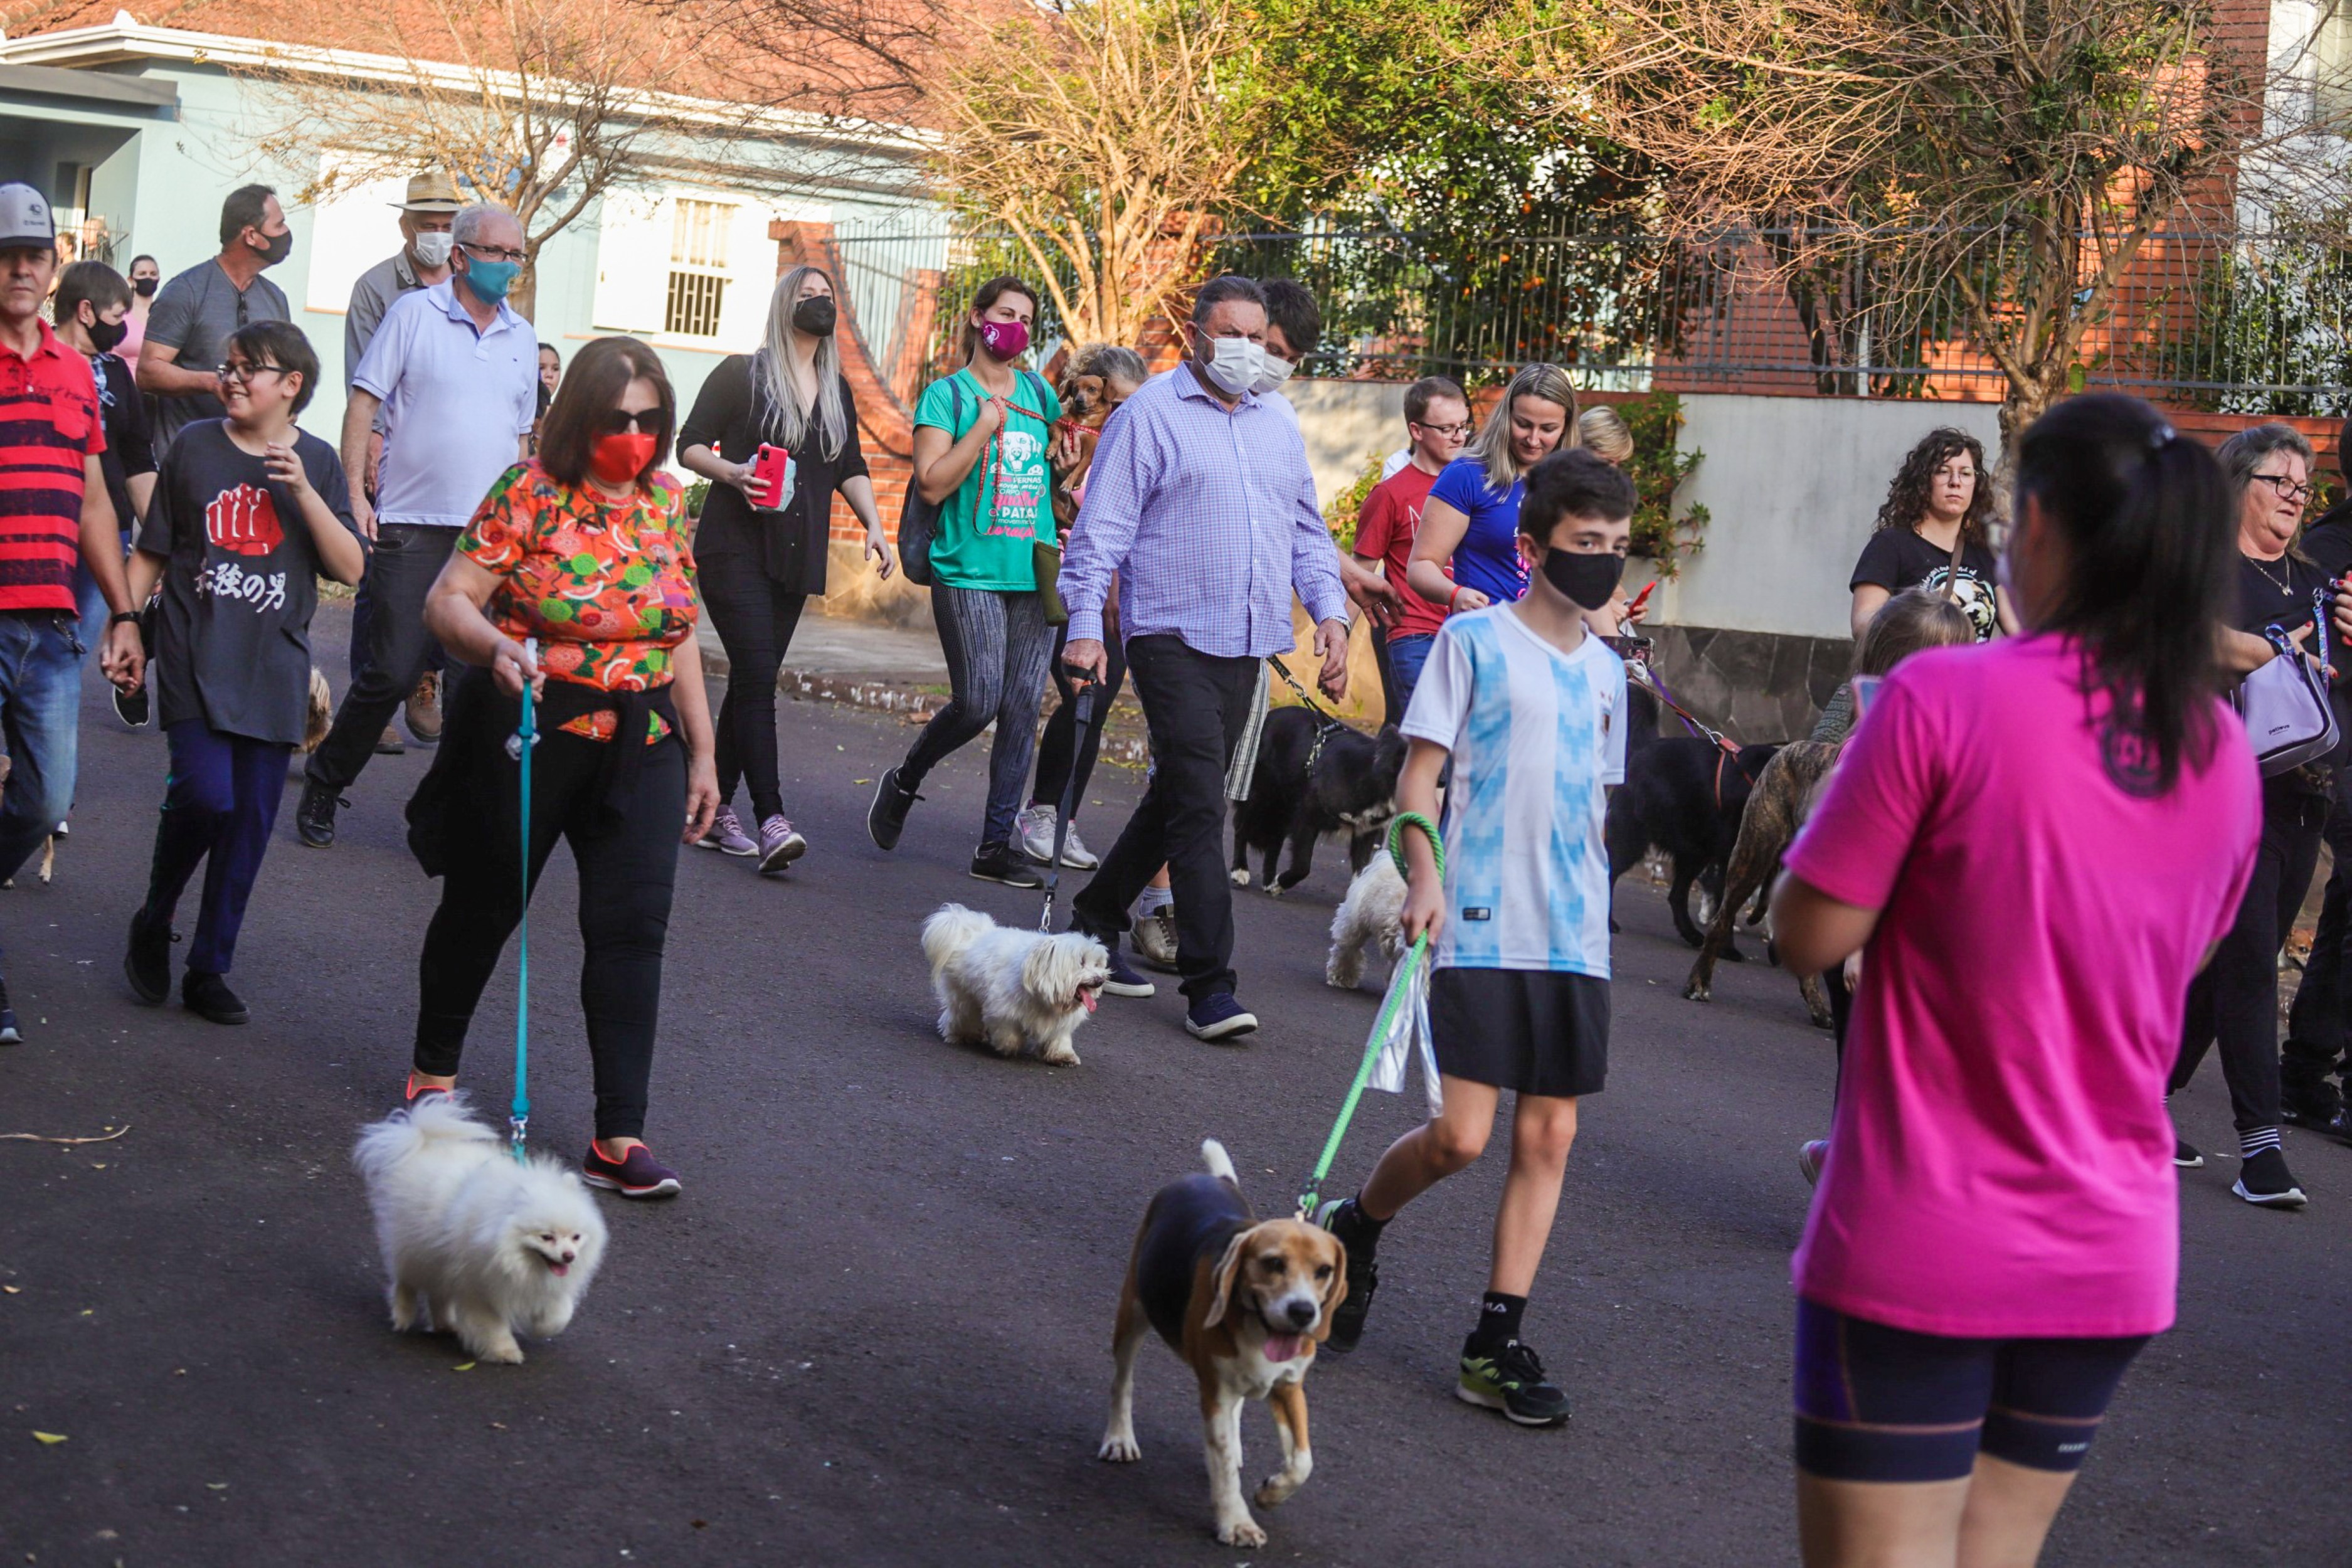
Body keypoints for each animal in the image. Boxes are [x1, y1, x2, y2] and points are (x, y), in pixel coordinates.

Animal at [352, 1095, 609, 1365]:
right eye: (547, 1237)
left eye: (576, 1237)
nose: (569, 1256)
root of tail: (423, 1142)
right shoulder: (478, 1286)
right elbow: (491, 1325)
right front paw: (505, 1352)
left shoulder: (542, 1285)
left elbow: (560, 1312)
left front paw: (544, 1327)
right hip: (414, 1245)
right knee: (406, 1280)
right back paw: (403, 1316)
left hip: (438, 1258)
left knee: (438, 1292)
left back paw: (445, 1324)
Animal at [921, 903, 1109, 1066]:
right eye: (1081, 962)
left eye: (1097, 964)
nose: (1100, 980)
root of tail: (969, 932)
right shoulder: (1004, 1010)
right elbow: (1009, 1034)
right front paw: (1009, 1047)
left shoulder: (1060, 1023)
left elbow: (1059, 1038)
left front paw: (1063, 1056)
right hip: (964, 994)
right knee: (963, 1014)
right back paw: (963, 1034)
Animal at [1099, 1140, 1346, 1547]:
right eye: (1274, 1263)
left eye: (1324, 1271)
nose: (1302, 1312)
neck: (1257, 1327)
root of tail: (1207, 1180)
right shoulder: (1215, 1393)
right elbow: (1225, 1466)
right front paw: (1237, 1522)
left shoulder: (1289, 1387)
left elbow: (1302, 1462)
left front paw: (1270, 1493)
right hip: (1132, 1311)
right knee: (1123, 1380)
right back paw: (1119, 1437)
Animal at [1231, 706, 1408, 895]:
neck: (1373, 774)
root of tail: (1270, 715)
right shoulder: (1307, 815)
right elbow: (1302, 865)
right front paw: (1280, 883)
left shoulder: (1365, 831)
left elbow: (1362, 872)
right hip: (1261, 795)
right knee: (1242, 827)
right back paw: (1241, 870)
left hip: (1284, 808)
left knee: (1275, 841)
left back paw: (1269, 880)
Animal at [1605, 681, 1779, 948]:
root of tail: (1645, 749)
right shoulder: (1733, 855)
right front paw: (1727, 947)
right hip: (1637, 839)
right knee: (1610, 872)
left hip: (1695, 850)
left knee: (1676, 896)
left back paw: (1692, 935)